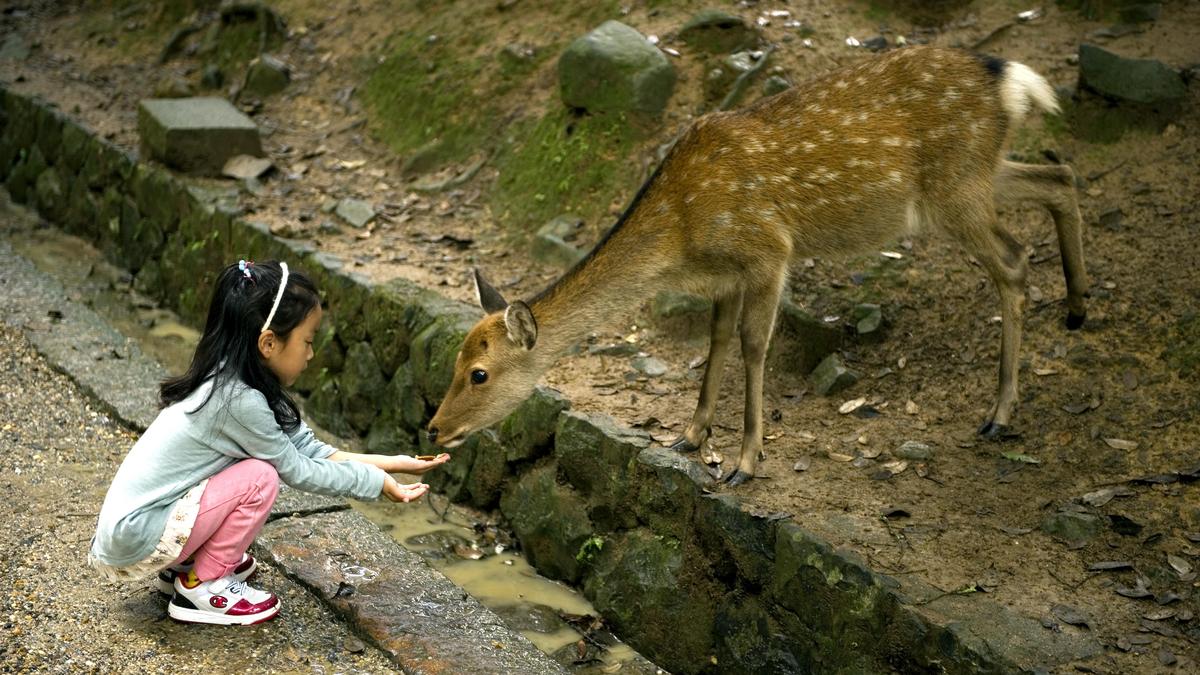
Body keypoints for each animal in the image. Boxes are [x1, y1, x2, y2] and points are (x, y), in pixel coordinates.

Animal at [429, 45, 1089, 482]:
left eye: (479, 374)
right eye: (455, 360)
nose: (433, 428)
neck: (681, 241)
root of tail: (1009, 79)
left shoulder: (769, 251)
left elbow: (752, 345)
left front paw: (746, 462)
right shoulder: (725, 274)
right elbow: (715, 340)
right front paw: (689, 436)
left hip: (954, 190)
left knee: (1014, 260)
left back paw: (999, 412)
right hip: (979, 173)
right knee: (1059, 175)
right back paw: (1079, 308)